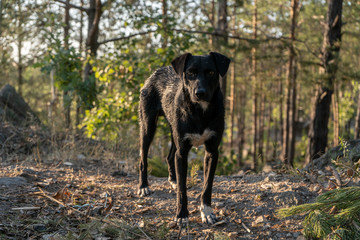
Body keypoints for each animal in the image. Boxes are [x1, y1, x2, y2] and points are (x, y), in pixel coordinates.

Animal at [138, 51, 231, 224]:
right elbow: (182, 189)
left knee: (169, 157)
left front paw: (206, 211)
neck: (200, 111)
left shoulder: (212, 151)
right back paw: (143, 186)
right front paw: (181, 215)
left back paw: (173, 180)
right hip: (148, 127)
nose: (200, 93)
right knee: (143, 159)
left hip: (174, 133)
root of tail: (156, 71)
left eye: (211, 72)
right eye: (190, 73)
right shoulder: (182, 152)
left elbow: (207, 185)